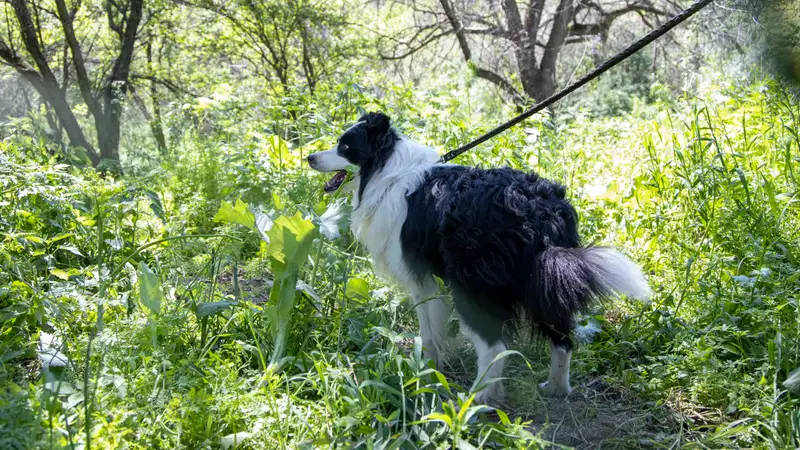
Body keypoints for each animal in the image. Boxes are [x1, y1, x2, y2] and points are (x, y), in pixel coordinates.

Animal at [306, 112, 648, 404]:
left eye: (344, 146)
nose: (309, 157)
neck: (385, 169)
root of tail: (536, 210)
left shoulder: (420, 279)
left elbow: (428, 332)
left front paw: (426, 370)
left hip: (473, 286)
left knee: (494, 346)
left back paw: (475, 400)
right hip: (546, 281)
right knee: (562, 339)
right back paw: (555, 389)